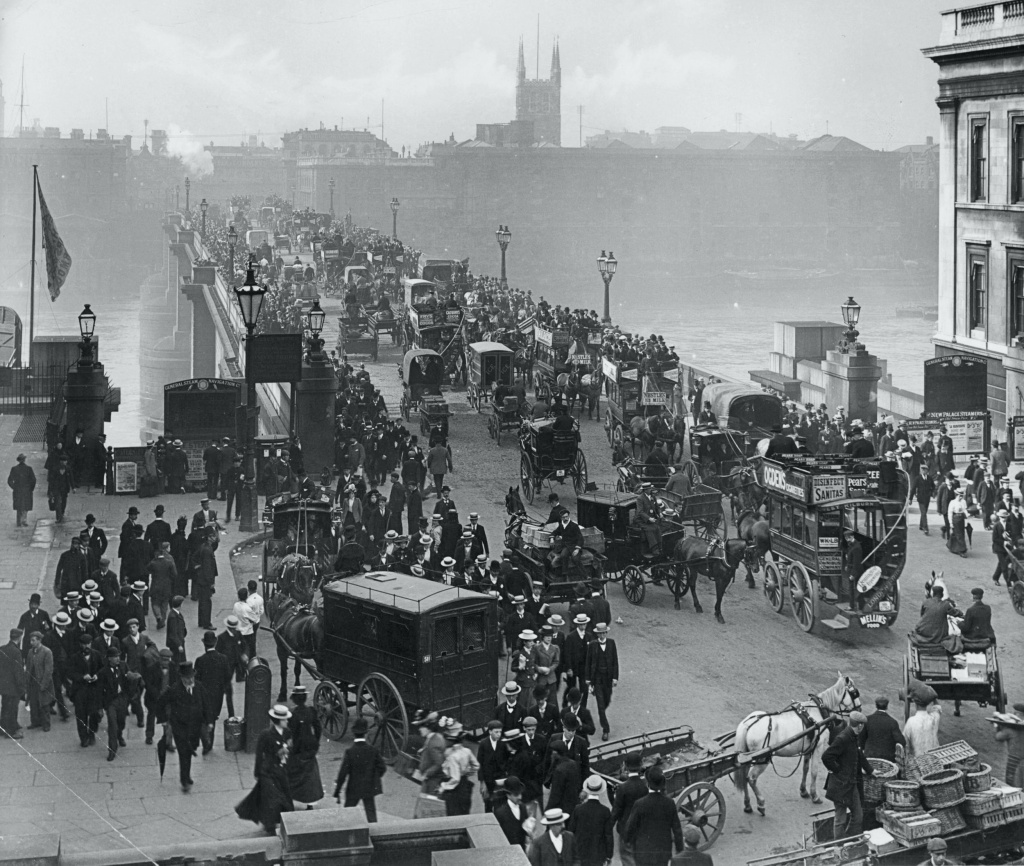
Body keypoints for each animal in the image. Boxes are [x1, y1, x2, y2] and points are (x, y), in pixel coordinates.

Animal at [733, 675, 860, 818]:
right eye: (855, 693)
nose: (859, 710)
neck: (817, 711)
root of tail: (747, 724)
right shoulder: (818, 747)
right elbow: (814, 771)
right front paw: (814, 795)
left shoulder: (809, 748)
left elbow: (805, 768)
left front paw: (804, 791)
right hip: (762, 759)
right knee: (751, 779)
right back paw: (760, 803)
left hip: (747, 757)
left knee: (744, 777)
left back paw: (747, 804)